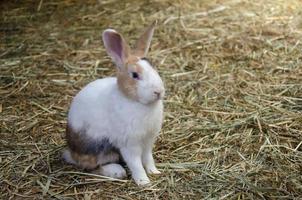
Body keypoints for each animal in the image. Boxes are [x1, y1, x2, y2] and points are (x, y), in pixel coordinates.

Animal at [62, 20, 164, 186]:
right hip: (97, 148)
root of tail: (71, 151)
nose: (159, 91)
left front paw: (154, 171)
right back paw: (116, 171)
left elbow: (148, 158)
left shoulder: (148, 141)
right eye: (134, 75)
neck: (136, 102)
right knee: (90, 166)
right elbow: (135, 163)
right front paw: (144, 182)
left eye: (154, 68)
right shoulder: (129, 144)